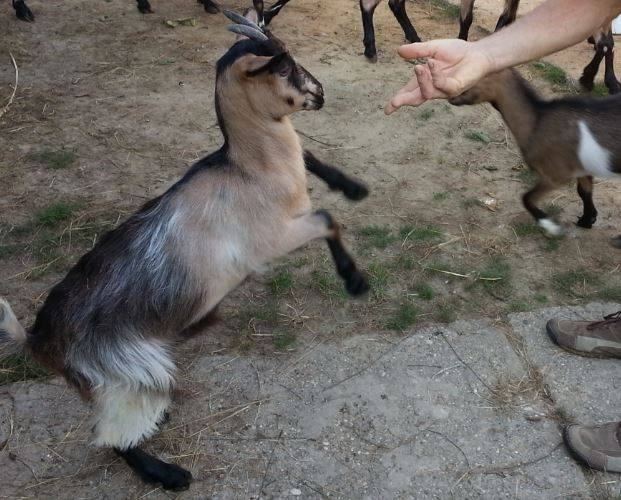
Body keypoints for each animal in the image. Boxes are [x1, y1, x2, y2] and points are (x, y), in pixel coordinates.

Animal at [0, 3, 369, 491]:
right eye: (284, 67)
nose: (321, 92)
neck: (249, 170)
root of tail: (40, 341)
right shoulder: (272, 239)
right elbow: (327, 219)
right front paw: (356, 281)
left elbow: (311, 162)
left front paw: (353, 187)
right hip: (131, 375)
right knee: (113, 436)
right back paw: (168, 474)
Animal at [449, 68, 621, 238]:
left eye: (474, 76)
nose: (452, 97)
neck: (537, 121)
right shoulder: (581, 169)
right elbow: (584, 192)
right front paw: (587, 220)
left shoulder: (556, 176)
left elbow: (526, 198)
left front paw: (552, 227)